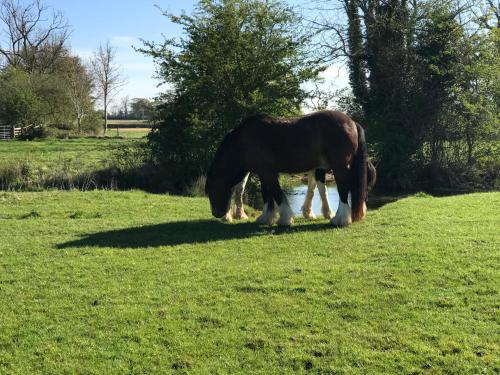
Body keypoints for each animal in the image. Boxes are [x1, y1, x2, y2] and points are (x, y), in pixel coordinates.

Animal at [205, 108, 374, 226]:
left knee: (344, 189)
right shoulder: (264, 172)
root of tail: (352, 122)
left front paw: (285, 219)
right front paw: (266, 217)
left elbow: (277, 194)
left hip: (340, 166)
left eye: (211, 190)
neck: (244, 141)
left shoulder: (268, 172)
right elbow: (267, 195)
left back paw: (340, 219)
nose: (216, 213)